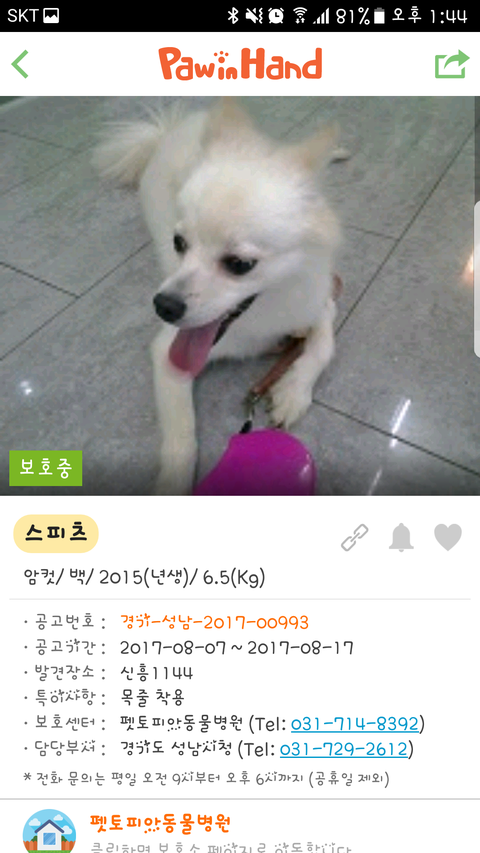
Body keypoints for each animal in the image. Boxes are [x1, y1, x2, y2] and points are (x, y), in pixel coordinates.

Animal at [94, 99, 347, 494]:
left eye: (240, 265)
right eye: (179, 243)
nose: (163, 306)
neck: (262, 318)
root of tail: (169, 130)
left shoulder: (319, 302)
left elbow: (324, 344)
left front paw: (292, 392)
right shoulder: (169, 356)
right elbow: (181, 439)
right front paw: (172, 484)